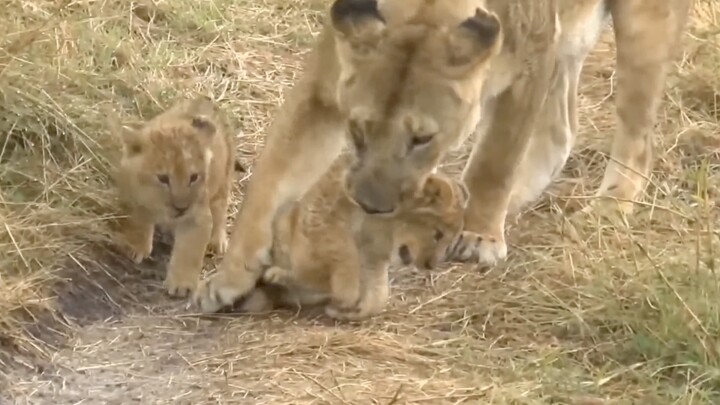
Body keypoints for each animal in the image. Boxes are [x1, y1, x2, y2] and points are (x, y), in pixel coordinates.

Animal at [114, 96, 240, 298]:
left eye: (194, 177)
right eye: (163, 178)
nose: (181, 208)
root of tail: (206, 99)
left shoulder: (197, 217)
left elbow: (189, 250)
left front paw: (182, 285)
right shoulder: (133, 198)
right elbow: (138, 221)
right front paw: (135, 247)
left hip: (223, 179)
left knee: (221, 208)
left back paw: (218, 241)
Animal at [225, 153, 468, 320]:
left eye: (449, 241)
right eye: (438, 234)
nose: (430, 266)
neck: (383, 229)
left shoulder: (373, 257)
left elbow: (379, 295)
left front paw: (350, 310)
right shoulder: (326, 209)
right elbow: (340, 253)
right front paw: (345, 297)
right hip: (284, 224)